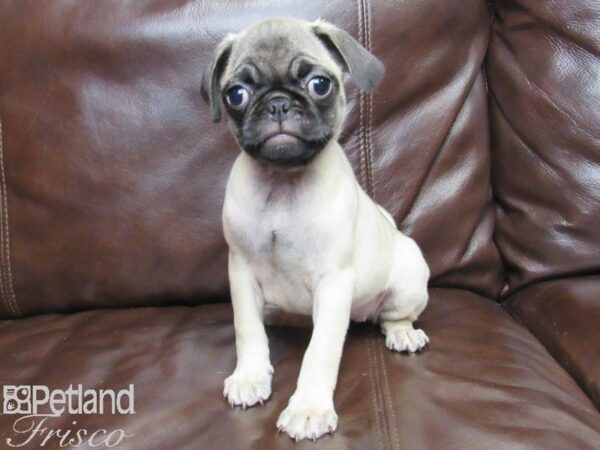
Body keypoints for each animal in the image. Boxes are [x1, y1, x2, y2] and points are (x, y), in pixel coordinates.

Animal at [204, 18, 428, 442]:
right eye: (236, 94)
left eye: (319, 85)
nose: (278, 103)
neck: (283, 182)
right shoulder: (241, 272)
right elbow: (247, 330)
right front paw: (251, 375)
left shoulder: (334, 281)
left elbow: (320, 352)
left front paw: (308, 409)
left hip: (409, 279)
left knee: (393, 316)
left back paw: (402, 332)